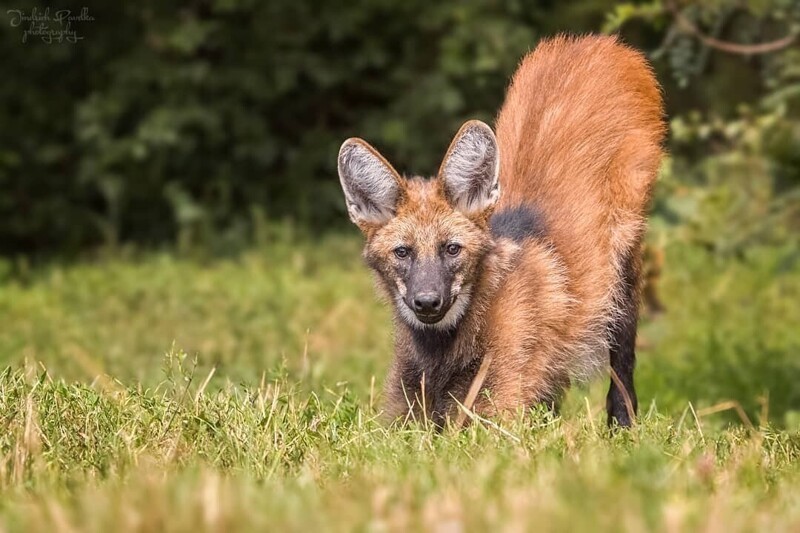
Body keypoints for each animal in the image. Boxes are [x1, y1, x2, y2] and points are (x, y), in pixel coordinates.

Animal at [336, 34, 664, 424]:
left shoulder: (498, 409)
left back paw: (622, 426)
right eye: (403, 252)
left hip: (622, 264)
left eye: (452, 248)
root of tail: (596, 41)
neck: (443, 350)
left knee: (622, 360)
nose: (428, 302)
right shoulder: (405, 410)